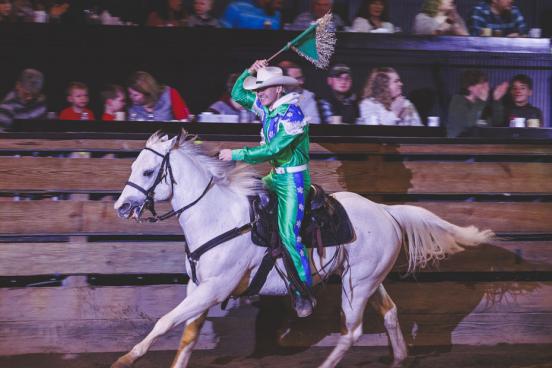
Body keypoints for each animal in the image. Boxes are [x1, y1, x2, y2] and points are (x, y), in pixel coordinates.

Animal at [111, 132, 492, 368]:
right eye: (133, 167)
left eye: (148, 171)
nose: (122, 207)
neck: (218, 217)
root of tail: (386, 211)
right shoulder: (198, 288)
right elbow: (187, 335)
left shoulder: (214, 289)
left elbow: (165, 321)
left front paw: (126, 358)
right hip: (368, 280)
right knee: (390, 313)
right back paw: (398, 358)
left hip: (356, 287)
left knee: (351, 332)